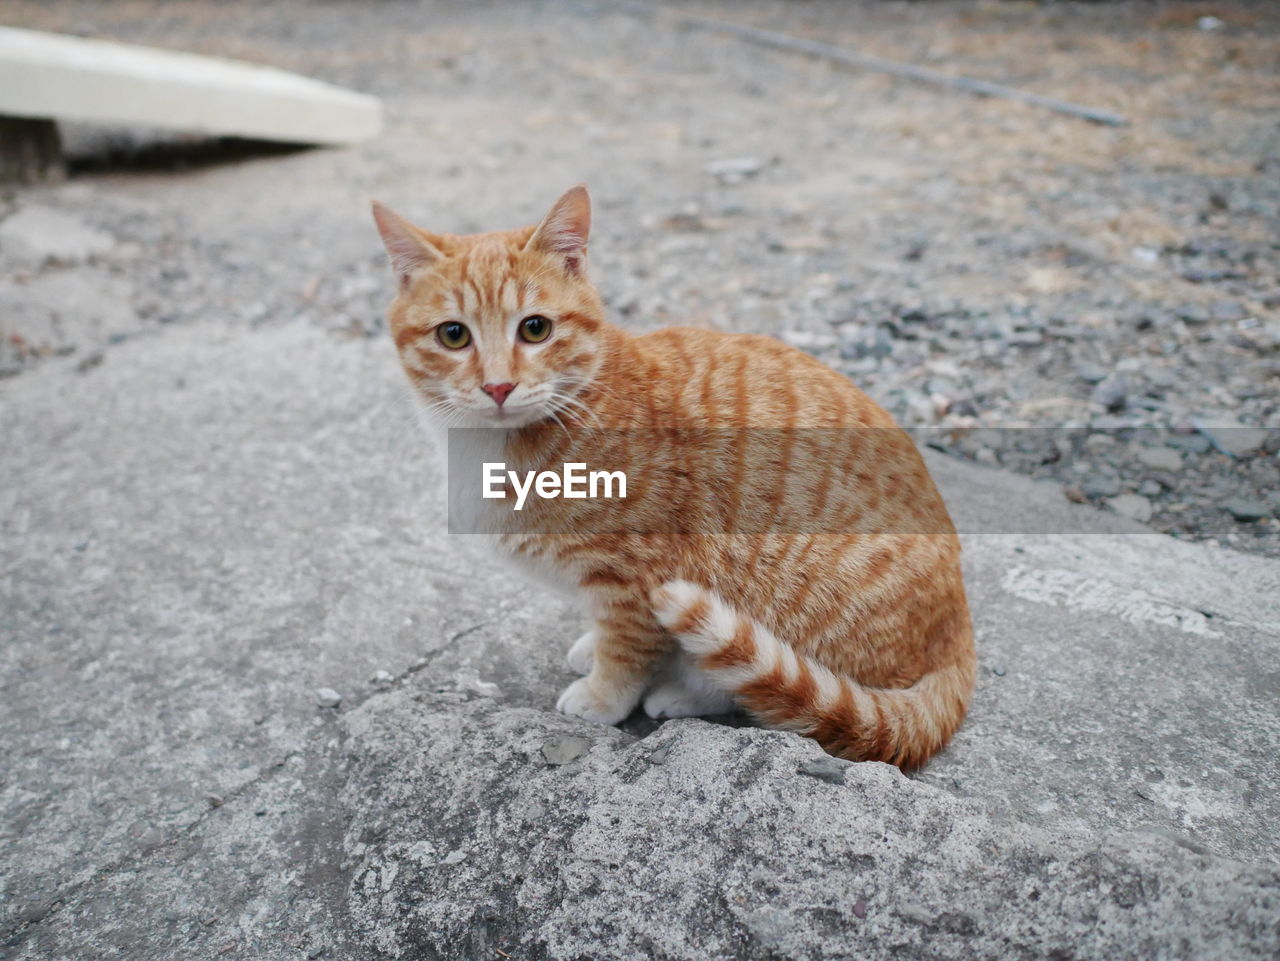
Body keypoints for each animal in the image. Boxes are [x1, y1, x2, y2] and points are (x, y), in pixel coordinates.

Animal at [373, 184, 972, 772]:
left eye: (535, 329)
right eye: (454, 335)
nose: (498, 386)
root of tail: (958, 626)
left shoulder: (635, 574)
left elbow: (628, 648)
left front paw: (603, 696)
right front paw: (592, 645)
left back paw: (685, 692)